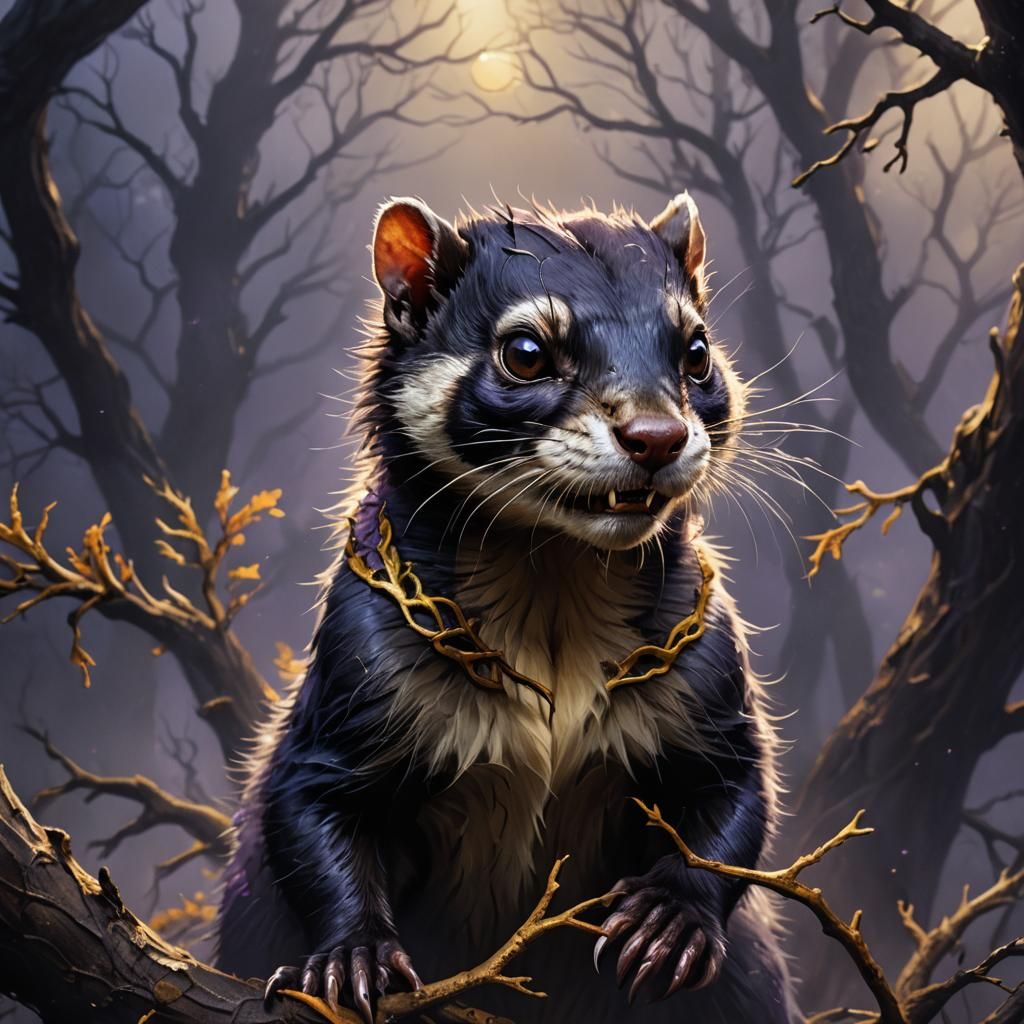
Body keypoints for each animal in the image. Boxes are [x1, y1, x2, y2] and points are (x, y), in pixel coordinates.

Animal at [217, 194, 796, 1024]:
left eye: (696, 350)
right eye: (525, 351)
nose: (656, 435)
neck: (551, 621)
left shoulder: (715, 699)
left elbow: (736, 811)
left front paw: (667, 926)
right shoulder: (339, 716)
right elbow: (310, 829)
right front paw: (356, 961)